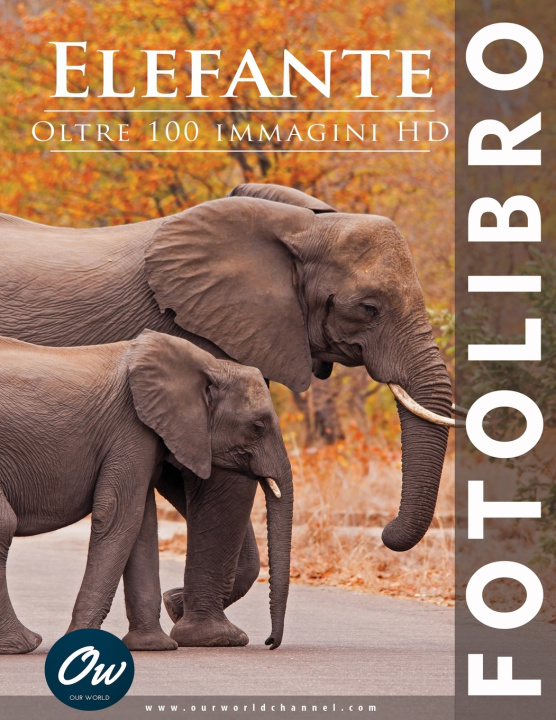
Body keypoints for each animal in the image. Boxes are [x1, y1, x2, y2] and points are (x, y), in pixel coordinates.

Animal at [0, 330, 293, 654]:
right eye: (258, 427)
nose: (269, 642)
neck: (208, 364)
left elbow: (142, 523)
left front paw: (153, 645)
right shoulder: (131, 429)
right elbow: (119, 515)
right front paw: (81, 644)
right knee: (5, 524)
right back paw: (21, 644)